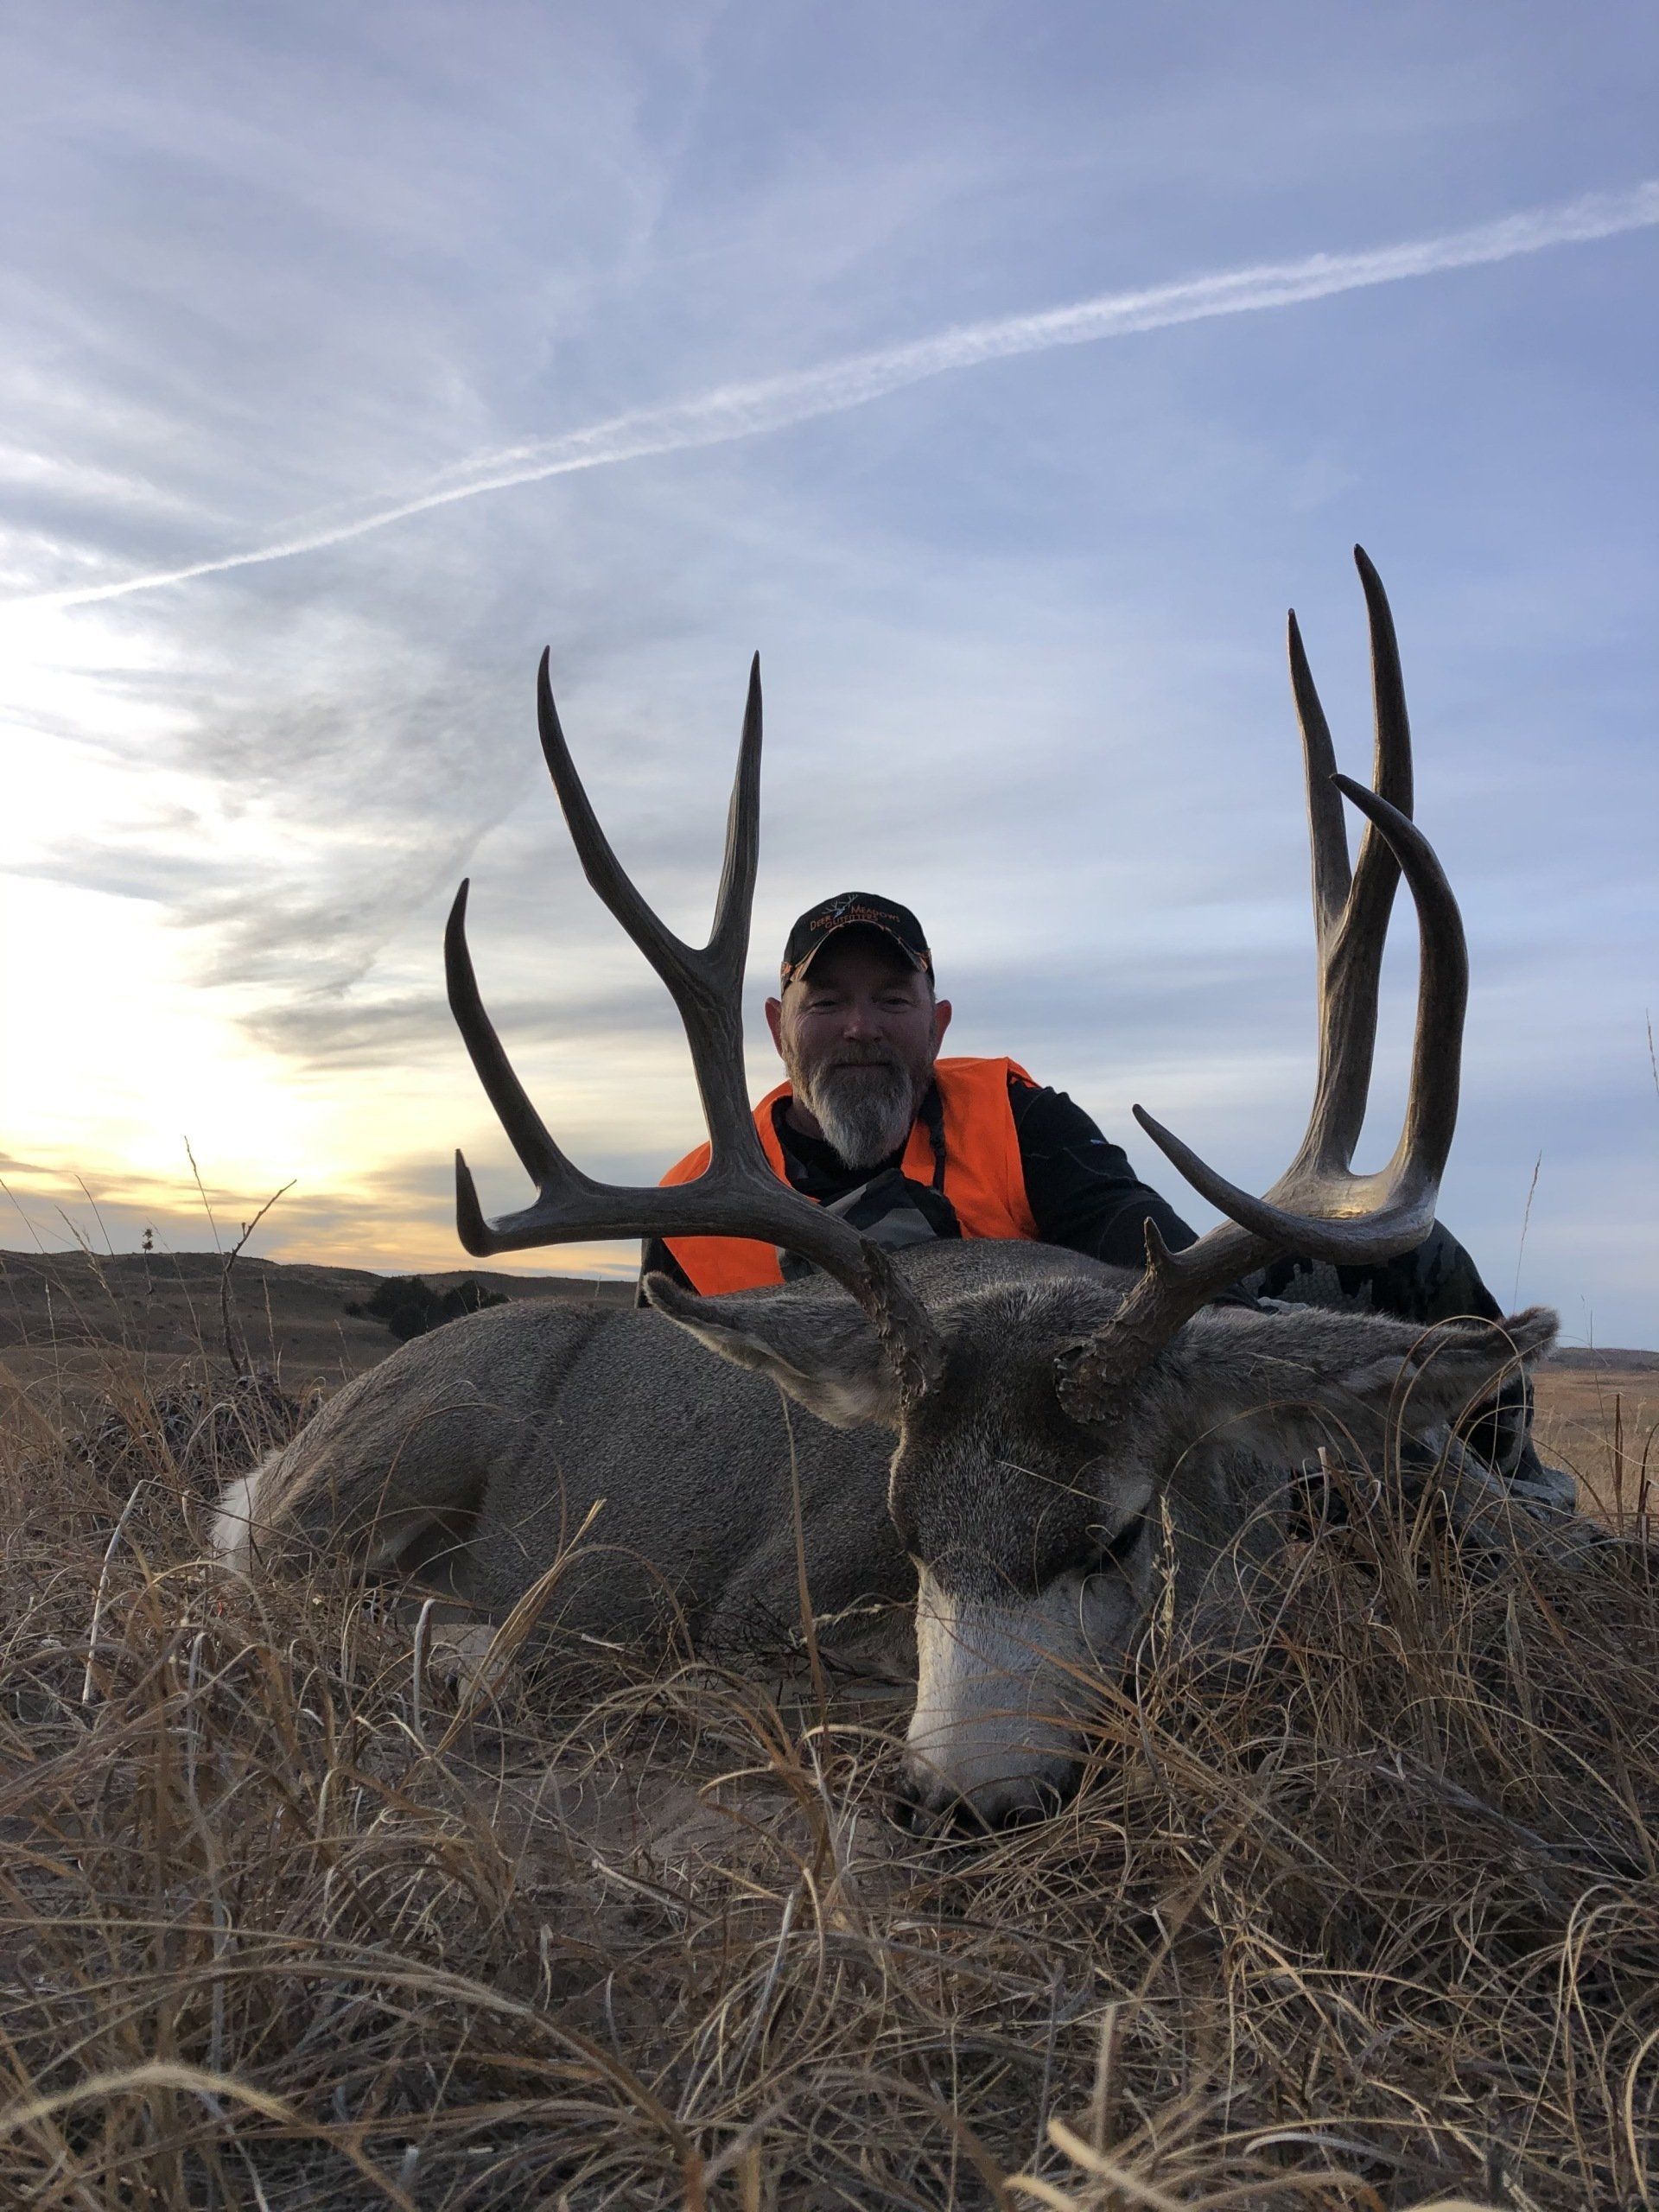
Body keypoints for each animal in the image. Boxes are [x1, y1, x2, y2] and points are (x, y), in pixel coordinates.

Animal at [212, 551, 1558, 1832]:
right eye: (912, 1531)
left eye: (1119, 1531)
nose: (958, 1798)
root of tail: (272, 1466)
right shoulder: (753, 1608)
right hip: (398, 1451)